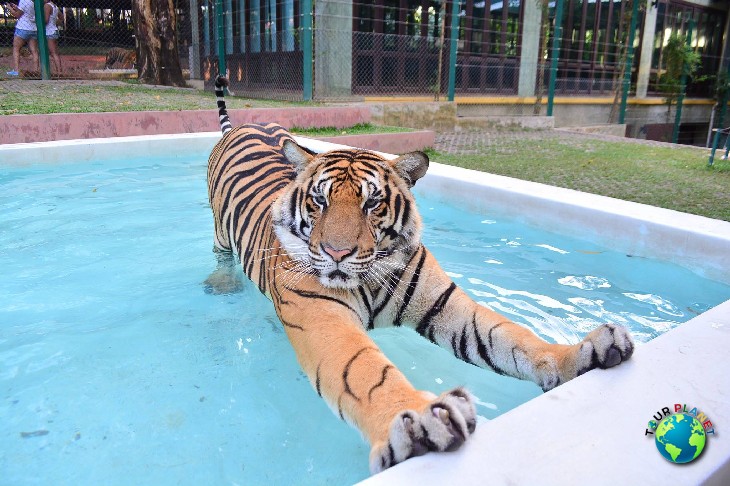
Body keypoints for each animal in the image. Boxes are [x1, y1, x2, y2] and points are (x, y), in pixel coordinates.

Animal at [205, 76, 632, 474]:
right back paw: (220, 284)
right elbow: (364, 371)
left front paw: (582, 354)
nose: (336, 253)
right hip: (221, 235)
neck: (369, 274)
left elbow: (510, 336)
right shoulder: (323, 318)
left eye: (372, 203)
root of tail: (246, 123)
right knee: (222, 258)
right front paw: (415, 421)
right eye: (319, 200)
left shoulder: (445, 305)